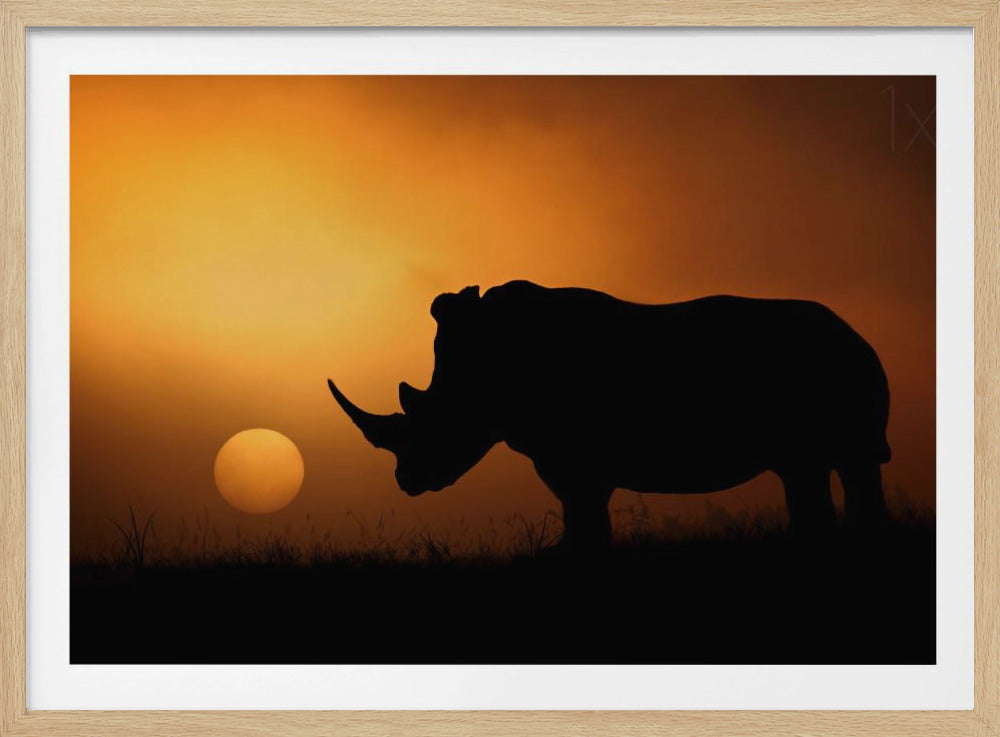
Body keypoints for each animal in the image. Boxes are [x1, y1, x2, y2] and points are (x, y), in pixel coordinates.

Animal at [328, 280, 890, 550]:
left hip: (836, 366)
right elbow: (581, 510)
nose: (406, 481)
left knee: (839, 463)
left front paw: (568, 555)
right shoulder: (565, 454)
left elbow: (583, 508)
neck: (483, 374)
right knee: (813, 470)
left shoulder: (573, 455)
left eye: (433, 423)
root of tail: (857, 334)